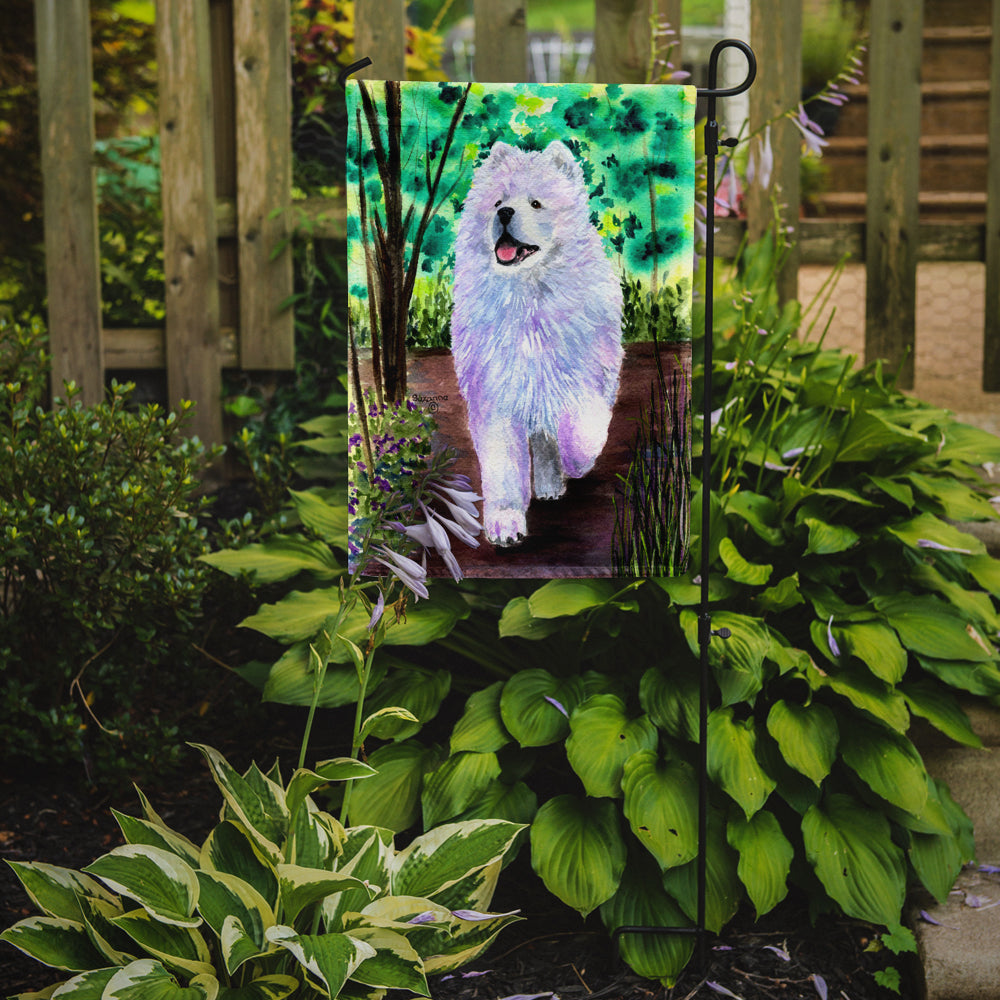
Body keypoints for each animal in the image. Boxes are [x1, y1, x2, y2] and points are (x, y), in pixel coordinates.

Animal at [452, 140, 620, 548]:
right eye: (498, 202)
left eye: (536, 203)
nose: (505, 213)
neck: (529, 298)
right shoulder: (497, 393)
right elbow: (502, 467)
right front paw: (505, 523)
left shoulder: (586, 379)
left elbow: (584, 428)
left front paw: (577, 462)